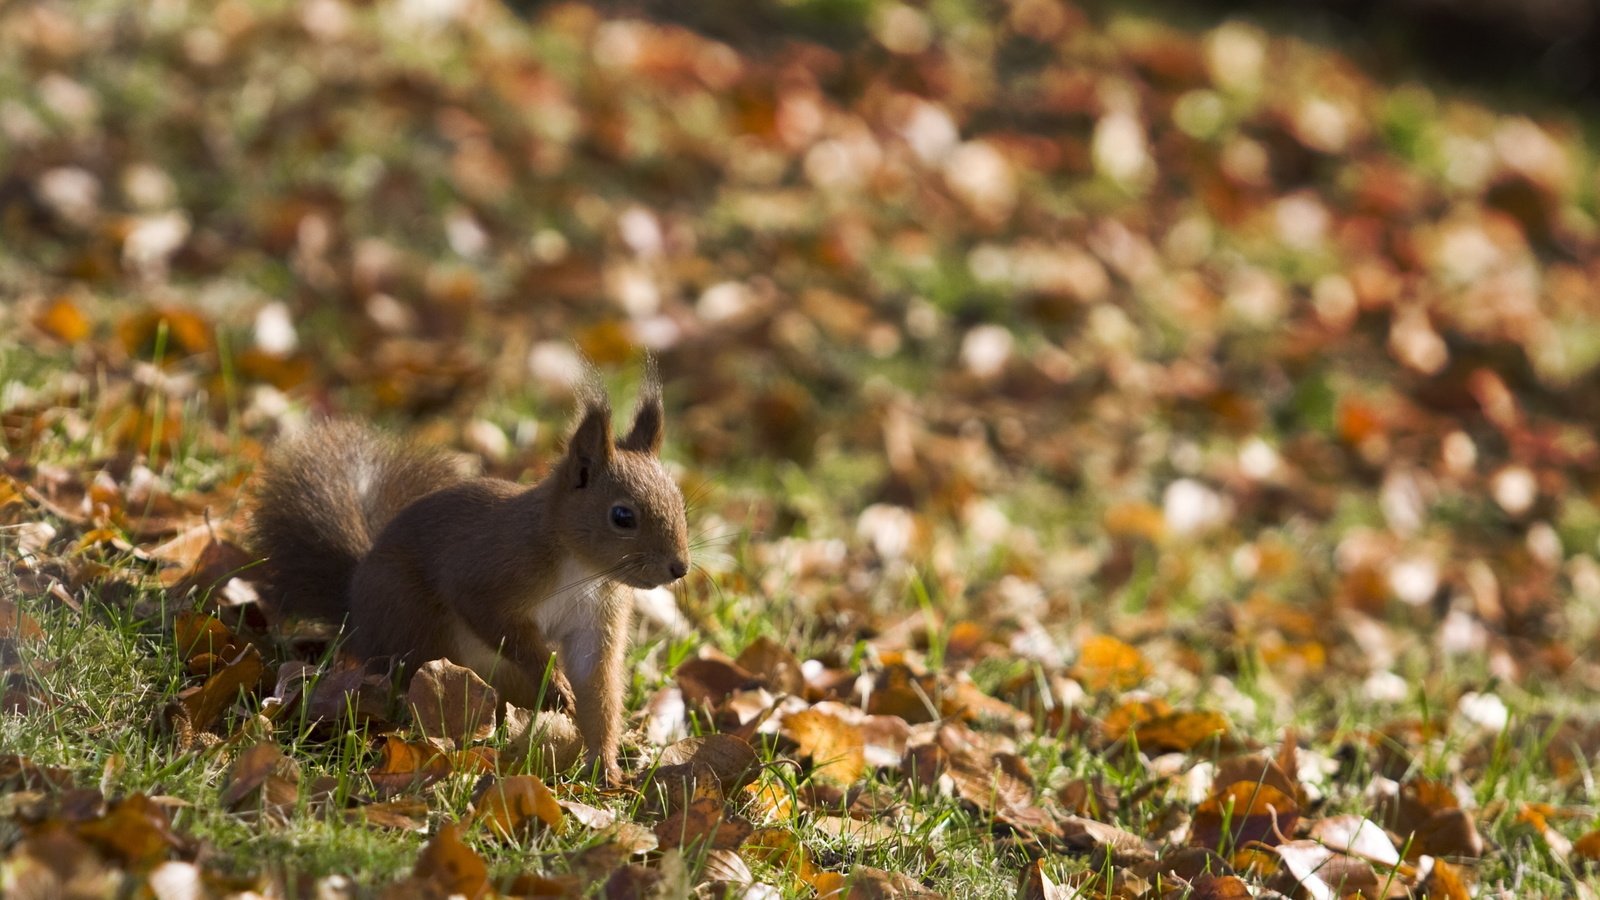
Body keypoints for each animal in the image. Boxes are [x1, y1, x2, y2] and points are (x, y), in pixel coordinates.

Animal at [246, 368, 684, 781]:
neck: (582, 568)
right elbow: (492, 619)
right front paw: (555, 685)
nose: (679, 568)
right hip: (415, 623)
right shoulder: (489, 571)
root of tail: (357, 612)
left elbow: (596, 683)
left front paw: (606, 766)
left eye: (679, 500)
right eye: (622, 516)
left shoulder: (598, 616)